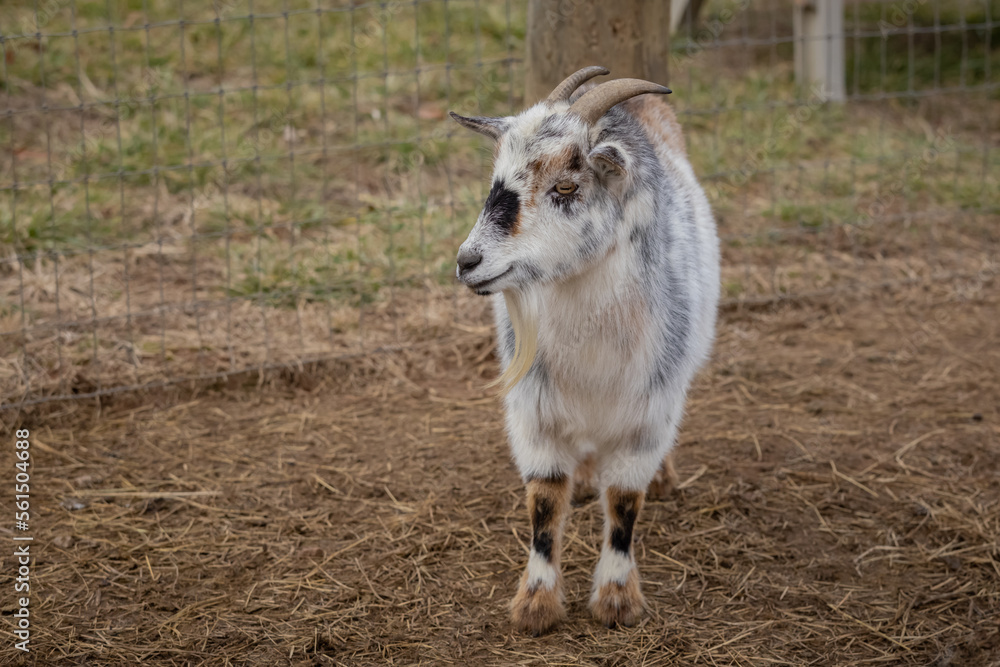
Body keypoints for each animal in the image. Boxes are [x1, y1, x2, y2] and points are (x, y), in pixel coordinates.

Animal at [450, 66, 720, 634]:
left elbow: (624, 503)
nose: (468, 261)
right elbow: (545, 502)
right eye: (495, 181)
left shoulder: (648, 414)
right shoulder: (533, 413)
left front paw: (617, 600)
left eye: (566, 185)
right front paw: (536, 604)